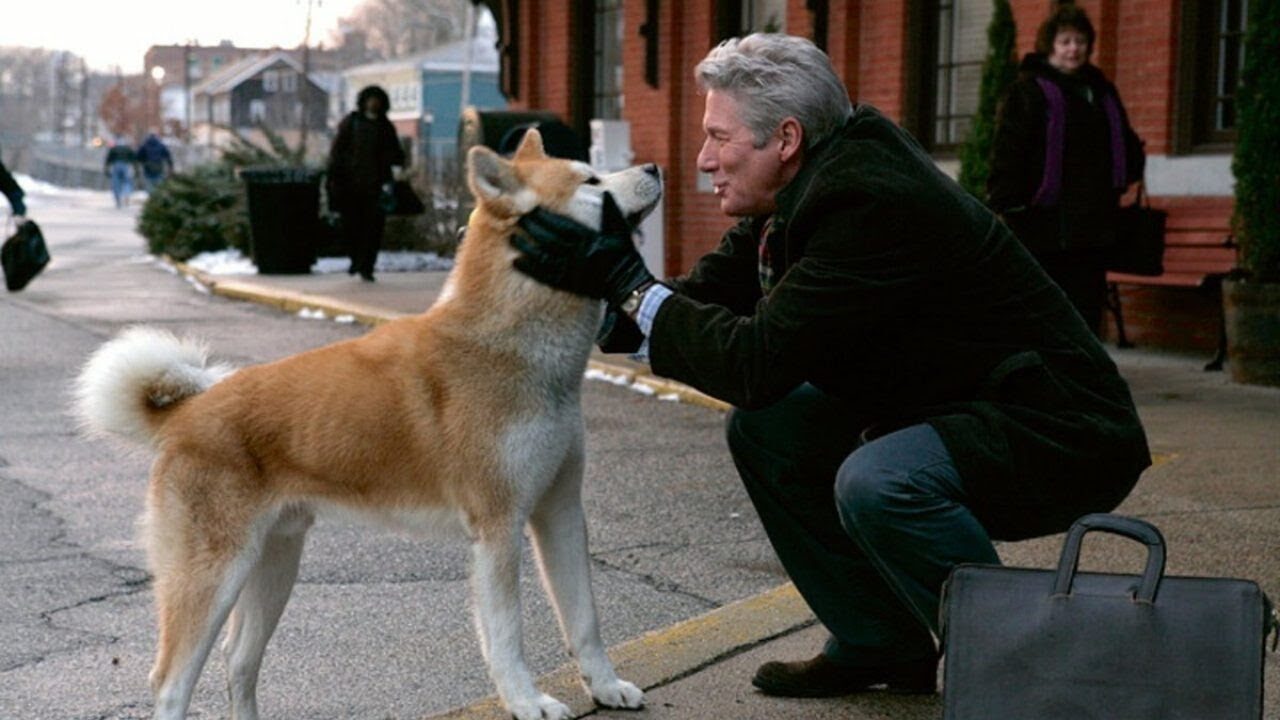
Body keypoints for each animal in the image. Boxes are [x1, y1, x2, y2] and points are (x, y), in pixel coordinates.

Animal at [74, 130, 665, 717]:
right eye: (591, 180)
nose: (656, 167)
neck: (509, 348)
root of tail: (186, 413)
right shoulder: (498, 528)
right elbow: (506, 636)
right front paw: (525, 700)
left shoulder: (559, 511)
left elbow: (585, 620)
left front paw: (606, 686)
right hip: (214, 576)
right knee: (171, 682)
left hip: (274, 564)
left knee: (238, 662)